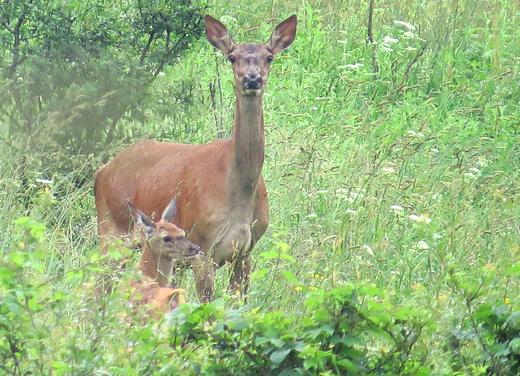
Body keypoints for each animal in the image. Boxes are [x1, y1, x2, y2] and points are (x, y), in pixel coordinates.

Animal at [93, 13, 296, 302]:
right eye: (232, 57)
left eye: (269, 57)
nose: (252, 79)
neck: (237, 189)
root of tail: (103, 170)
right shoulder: (201, 244)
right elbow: (208, 304)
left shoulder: (246, 250)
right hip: (111, 232)